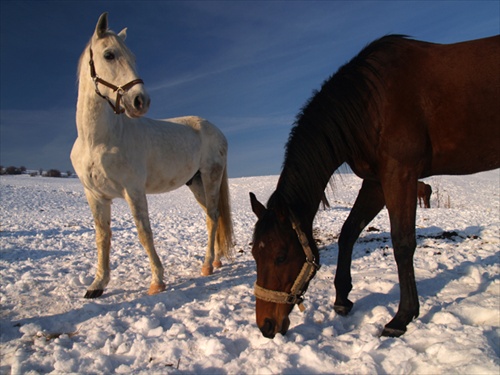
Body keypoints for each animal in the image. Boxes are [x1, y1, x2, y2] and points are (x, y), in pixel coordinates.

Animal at [71, 12, 233, 300]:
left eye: (133, 57)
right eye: (109, 55)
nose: (140, 101)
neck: (97, 141)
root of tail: (215, 129)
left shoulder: (133, 191)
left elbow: (144, 233)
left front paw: (157, 281)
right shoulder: (96, 196)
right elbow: (102, 237)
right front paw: (97, 285)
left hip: (211, 178)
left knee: (213, 216)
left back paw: (206, 265)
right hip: (196, 183)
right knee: (209, 217)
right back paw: (214, 261)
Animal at [252, 35, 498, 340]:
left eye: (281, 256)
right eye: (255, 254)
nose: (265, 326)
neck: (371, 104)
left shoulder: (400, 174)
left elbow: (402, 242)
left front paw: (402, 317)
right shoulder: (376, 182)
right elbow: (348, 232)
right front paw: (342, 299)